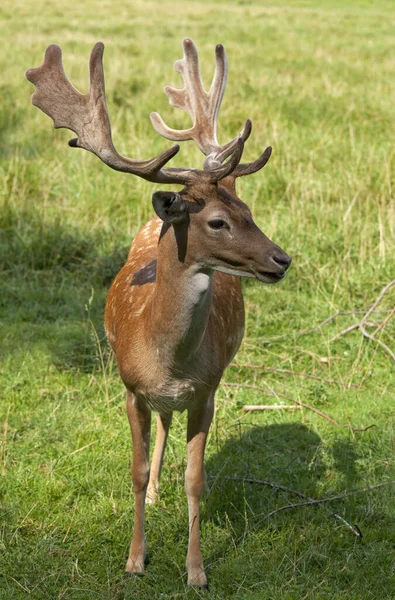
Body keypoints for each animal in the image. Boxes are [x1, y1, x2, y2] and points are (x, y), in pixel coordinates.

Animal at [25, 39, 290, 588]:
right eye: (218, 221)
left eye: (249, 211)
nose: (282, 260)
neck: (167, 359)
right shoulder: (130, 388)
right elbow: (137, 469)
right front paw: (134, 560)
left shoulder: (207, 389)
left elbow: (194, 478)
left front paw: (196, 570)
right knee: (160, 431)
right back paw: (152, 498)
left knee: (177, 431)